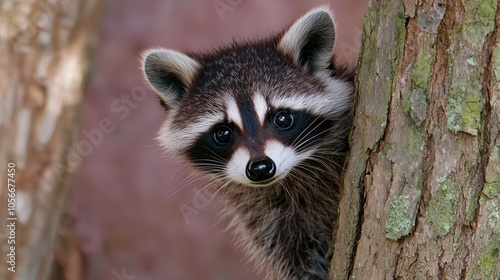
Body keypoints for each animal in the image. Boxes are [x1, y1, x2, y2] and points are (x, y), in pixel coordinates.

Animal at [142, 6, 356, 280]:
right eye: (223, 133)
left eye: (282, 118)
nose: (261, 168)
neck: (288, 182)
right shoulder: (266, 217)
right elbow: (293, 256)